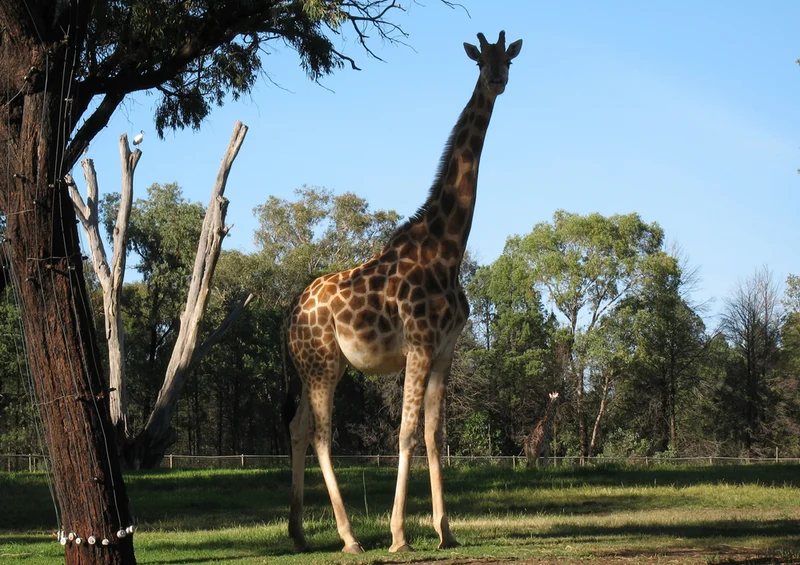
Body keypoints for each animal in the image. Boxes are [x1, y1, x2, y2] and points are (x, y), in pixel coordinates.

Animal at [285, 31, 523, 554]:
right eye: (481, 61)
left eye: (509, 60)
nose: (498, 79)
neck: (448, 247)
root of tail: (288, 318)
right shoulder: (419, 342)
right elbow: (406, 433)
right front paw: (399, 535)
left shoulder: (445, 348)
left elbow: (433, 433)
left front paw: (444, 530)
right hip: (323, 364)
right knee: (322, 434)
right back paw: (350, 537)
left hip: (316, 365)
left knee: (297, 427)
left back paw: (298, 534)